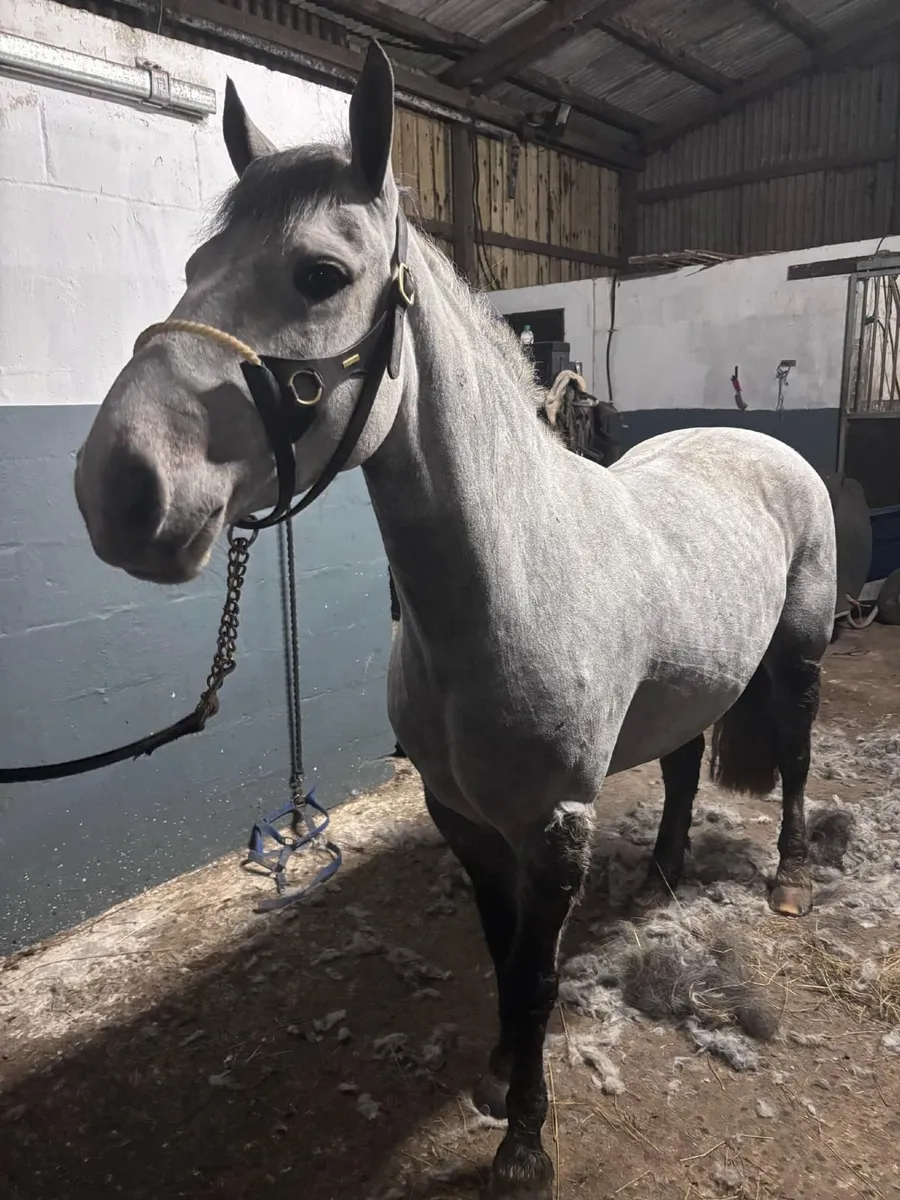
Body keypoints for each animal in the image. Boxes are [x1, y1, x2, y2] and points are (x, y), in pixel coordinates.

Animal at [73, 43, 836, 1199]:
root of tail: (764, 442)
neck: (501, 588)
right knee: (683, 768)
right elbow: (499, 954)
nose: (117, 488)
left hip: (796, 657)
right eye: (197, 261)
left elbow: (534, 974)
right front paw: (496, 1078)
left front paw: (524, 1142)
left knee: (791, 756)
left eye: (320, 274)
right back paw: (662, 873)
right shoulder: (462, 817)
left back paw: (789, 876)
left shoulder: (554, 825)